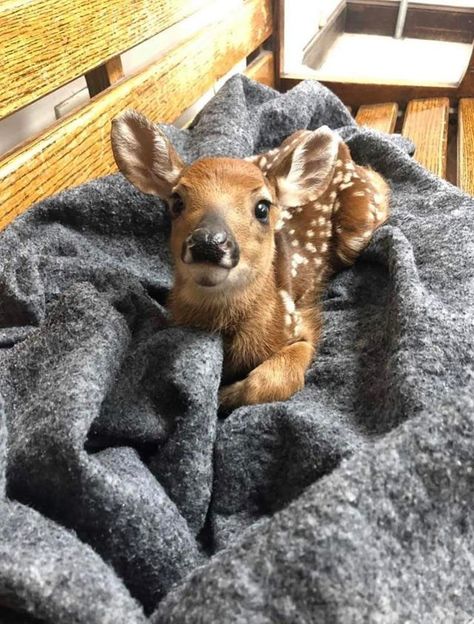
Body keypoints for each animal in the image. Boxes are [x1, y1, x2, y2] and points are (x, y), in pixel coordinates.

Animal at [111, 111, 388, 410]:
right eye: (177, 202)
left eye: (262, 208)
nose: (209, 242)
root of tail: (342, 147)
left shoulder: (301, 323)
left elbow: (276, 381)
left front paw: (225, 396)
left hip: (359, 225)